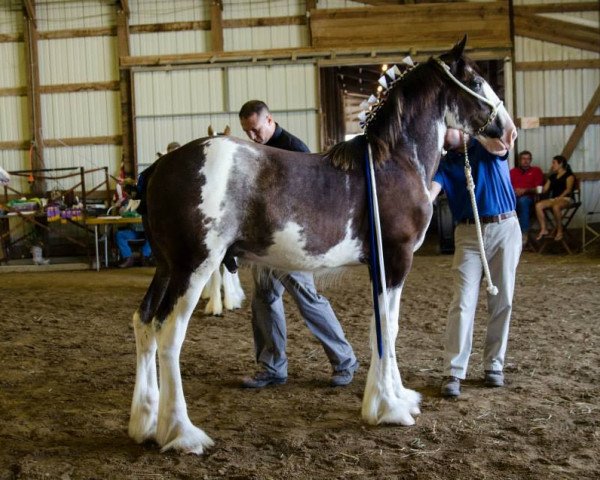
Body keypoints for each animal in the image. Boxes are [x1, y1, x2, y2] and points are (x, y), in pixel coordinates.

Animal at [130, 38, 516, 454]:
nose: (508, 132)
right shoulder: (395, 259)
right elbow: (389, 325)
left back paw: (144, 422)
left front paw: (398, 397)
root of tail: (160, 167)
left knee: (145, 323)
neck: (395, 161)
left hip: (166, 267)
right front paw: (389, 408)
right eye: (475, 79)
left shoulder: (380, 265)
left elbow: (385, 326)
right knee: (169, 334)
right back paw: (181, 432)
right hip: (194, 267)